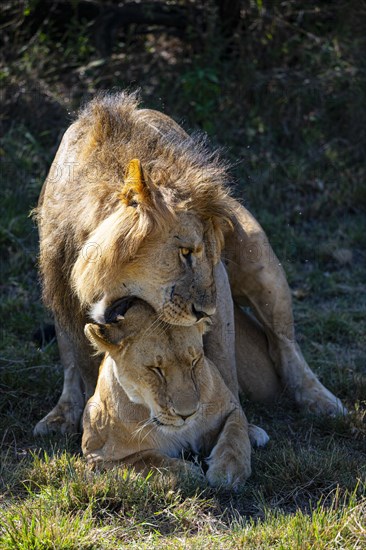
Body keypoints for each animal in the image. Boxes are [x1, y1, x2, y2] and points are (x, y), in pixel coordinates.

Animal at [33, 91, 344, 436]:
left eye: (205, 253)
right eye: (184, 252)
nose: (204, 312)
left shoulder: (217, 280)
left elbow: (222, 359)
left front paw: (239, 425)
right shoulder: (61, 287)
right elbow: (84, 365)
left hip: (259, 262)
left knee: (284, 344)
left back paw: (321, 401)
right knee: (69, 366)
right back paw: (61, 415)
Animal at [83, 300, 268, 490]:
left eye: (194, 362)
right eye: (156, 369)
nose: (187, 414)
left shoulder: (231, 407)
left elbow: (235, 434)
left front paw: (228, 471)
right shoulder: (96, 454)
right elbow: (144, 460)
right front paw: (187, 472)